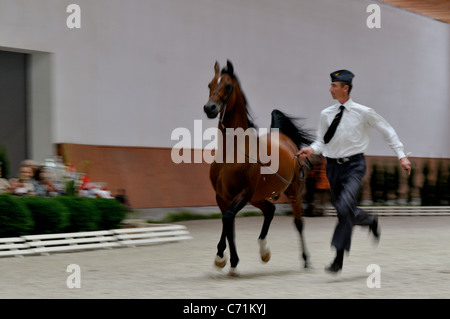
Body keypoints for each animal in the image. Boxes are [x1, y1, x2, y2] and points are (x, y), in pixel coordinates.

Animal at [203, 60, 312, 276]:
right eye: (210, 84)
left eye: (228, 85)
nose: (209, 108)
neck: (232, 153)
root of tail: (285, 139)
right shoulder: (223, 196)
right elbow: (228, 223)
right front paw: (224, 259)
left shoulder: (243, 193)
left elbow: (228, 218)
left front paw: (230, 261)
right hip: (257, 197)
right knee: (270, 210)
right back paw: (264, 252)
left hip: (292, 191)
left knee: (298, 222)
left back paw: (305, 261)